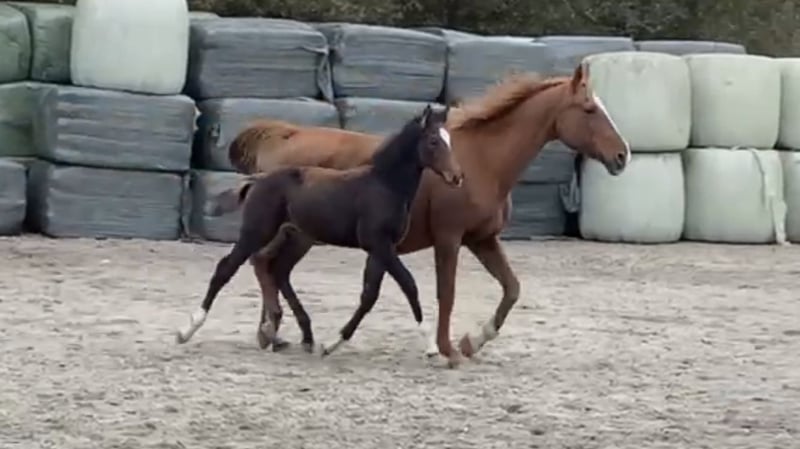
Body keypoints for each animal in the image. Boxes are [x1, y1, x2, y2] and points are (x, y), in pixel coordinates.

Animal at [175, 104, 464, 354]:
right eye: (434, 141)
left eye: (450, 140)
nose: (456, 177)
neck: (385, 186)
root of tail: (258, 179)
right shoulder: (379, 244)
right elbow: (408, 284)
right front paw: (431, 346)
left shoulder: (382, 248)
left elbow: (369, 294)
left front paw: (333, 344)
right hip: (257, 232)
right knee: (227, 268)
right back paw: (187, 331)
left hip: (296, 237)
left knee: (277, 271)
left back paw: (298, 336)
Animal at [216, 63, 631, 367]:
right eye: (590, 109)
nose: (623, 155)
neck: (481, 162)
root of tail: (284, 136)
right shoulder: (449, 239)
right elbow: (445, 292)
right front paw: (447, 348)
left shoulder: (482, 240)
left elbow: (511, 288)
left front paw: (472, 341)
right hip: (291, 233)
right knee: (262, 264)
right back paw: (273, 330)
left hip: (302, 235)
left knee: (274, 268)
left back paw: (285, 333)